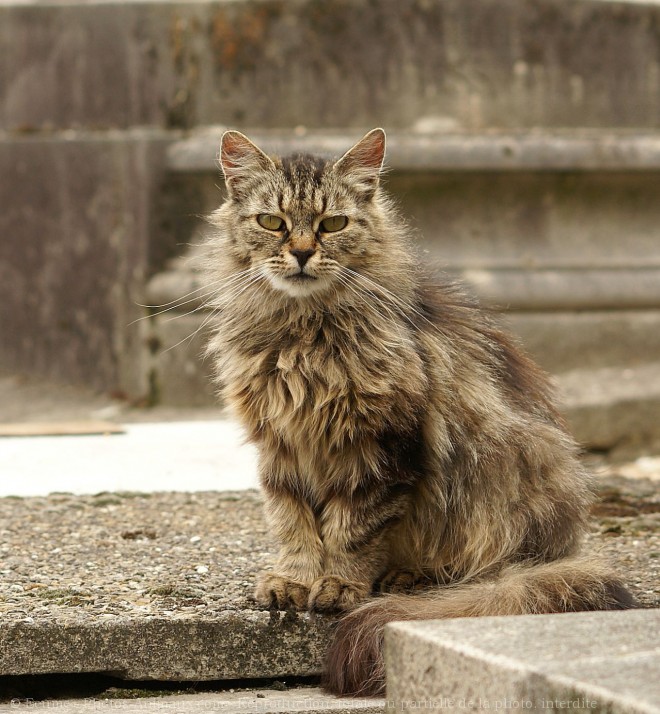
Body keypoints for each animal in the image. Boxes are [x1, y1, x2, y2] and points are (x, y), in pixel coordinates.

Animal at [205, 128, 636, 696]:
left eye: (332, 224)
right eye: (272, 222)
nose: (300, 252)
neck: (302, 336)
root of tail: (562, 549)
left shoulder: (381, 446)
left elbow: (352, 530)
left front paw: (338, 583)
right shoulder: (280, 445)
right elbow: (293, 523)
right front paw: (293, 581)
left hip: (488, 491)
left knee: (479, 568)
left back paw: (409, 578)